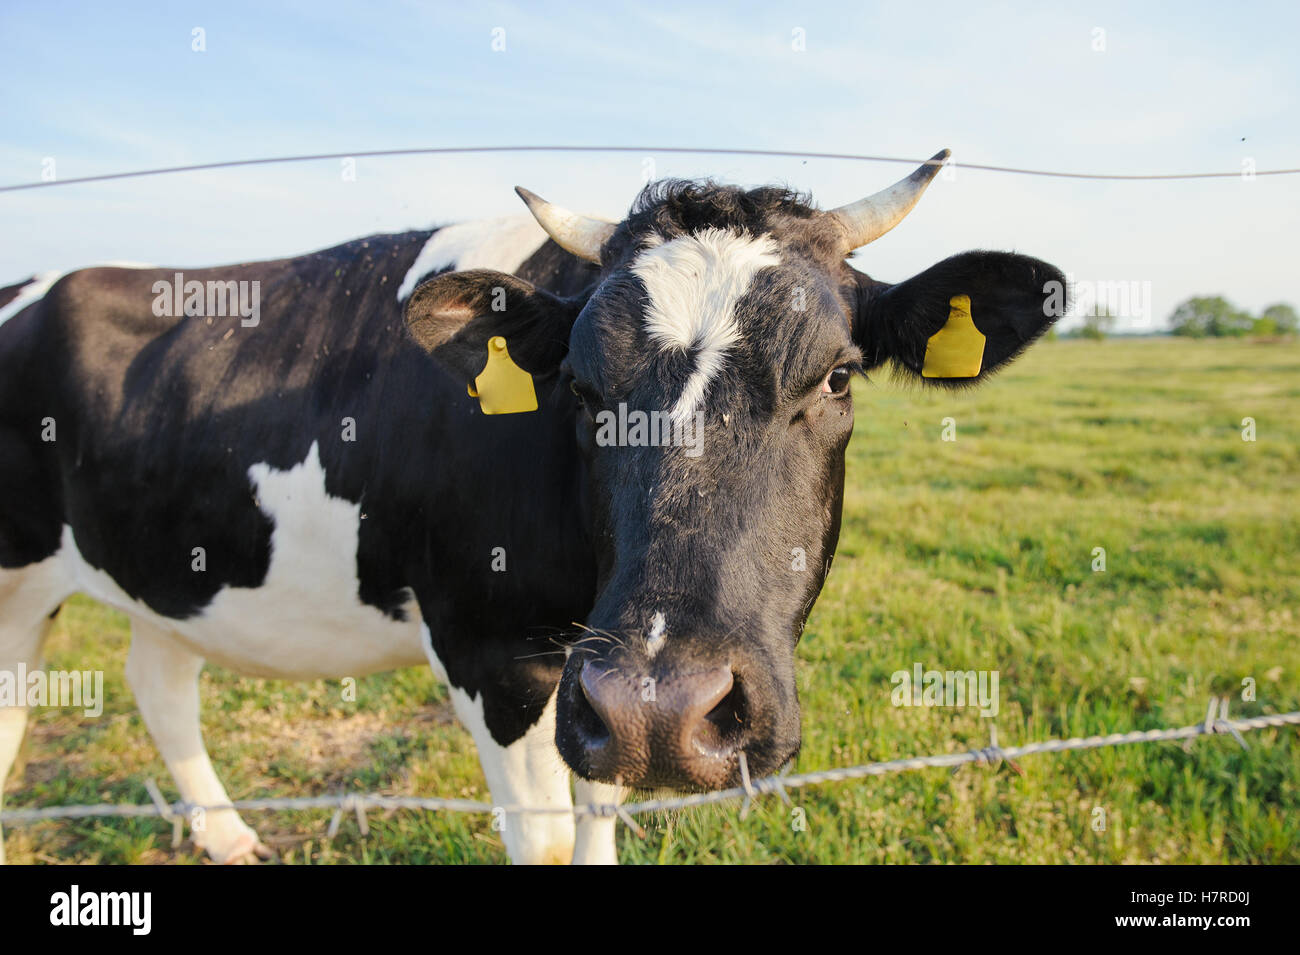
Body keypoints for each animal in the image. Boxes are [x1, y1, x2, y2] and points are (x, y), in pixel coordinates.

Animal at [0, 150, 1064, 864]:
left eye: (839, 374)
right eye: (582, 390)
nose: (666, 706)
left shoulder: (594, 682)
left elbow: (599, 813)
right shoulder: (493, 652)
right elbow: (547, 840)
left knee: (159, 680)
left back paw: (227, 836)